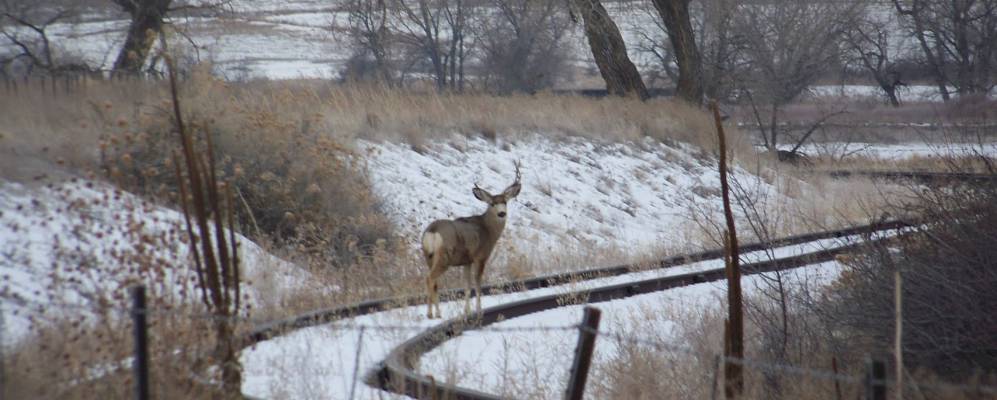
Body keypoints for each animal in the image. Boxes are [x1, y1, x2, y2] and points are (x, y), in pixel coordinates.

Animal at [422, 162, 524, 318]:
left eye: (505, 202)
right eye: (492, 203)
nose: (502, 213)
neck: (488, 230)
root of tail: (432, 231)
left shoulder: (466, 261)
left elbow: (467, 286)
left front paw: (467, 311)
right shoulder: (480, 256)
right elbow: (477, 283)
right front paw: (479, 310)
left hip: (428, 256)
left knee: (434, 283)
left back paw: (433, 313)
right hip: (444, 257)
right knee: (430, 278)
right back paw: (434, 314)